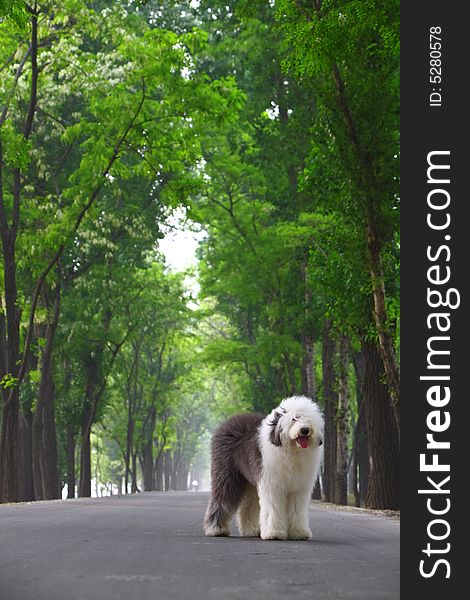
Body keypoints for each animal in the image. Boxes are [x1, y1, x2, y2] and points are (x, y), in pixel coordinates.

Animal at [202, 396, 324, 540]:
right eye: (295, 418)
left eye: (309, 419)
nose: (305, 430)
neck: (293, 450)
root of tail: (228, 422)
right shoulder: (272, 485)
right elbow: (273, 509)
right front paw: (274, 533)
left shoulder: (298, 489)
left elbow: (296, 510)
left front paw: (298, 532)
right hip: (227, 475)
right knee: (221, 499)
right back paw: (216, 529)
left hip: (250, 482)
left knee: (248, 505)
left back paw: (250, 530)